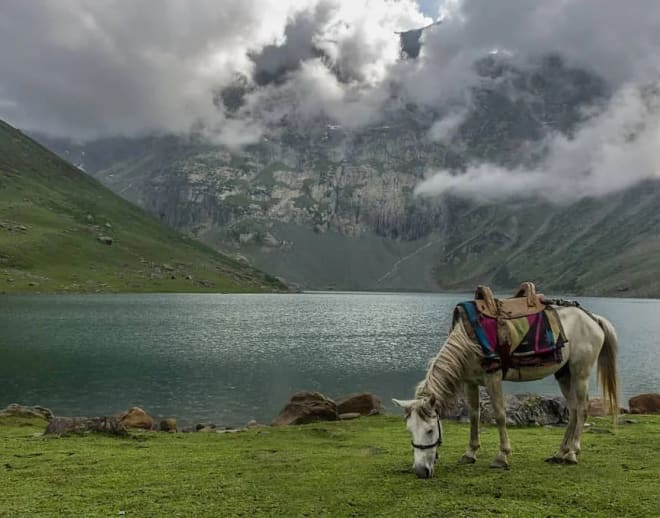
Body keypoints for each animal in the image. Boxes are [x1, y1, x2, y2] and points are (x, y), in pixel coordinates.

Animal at [392, 306, 620, 482]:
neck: (469, 341)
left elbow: (500, 415)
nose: (420, 471)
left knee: (582, 409)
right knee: (572, 410)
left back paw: (572, 453)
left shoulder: (492, 378)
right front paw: (470, 453)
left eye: (430, 430)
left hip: (580, 372)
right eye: (409, 430)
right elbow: (474, 415)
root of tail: (593, 319)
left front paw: (501, 457)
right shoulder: (469, 382)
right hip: (564, 374)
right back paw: (560, 453)